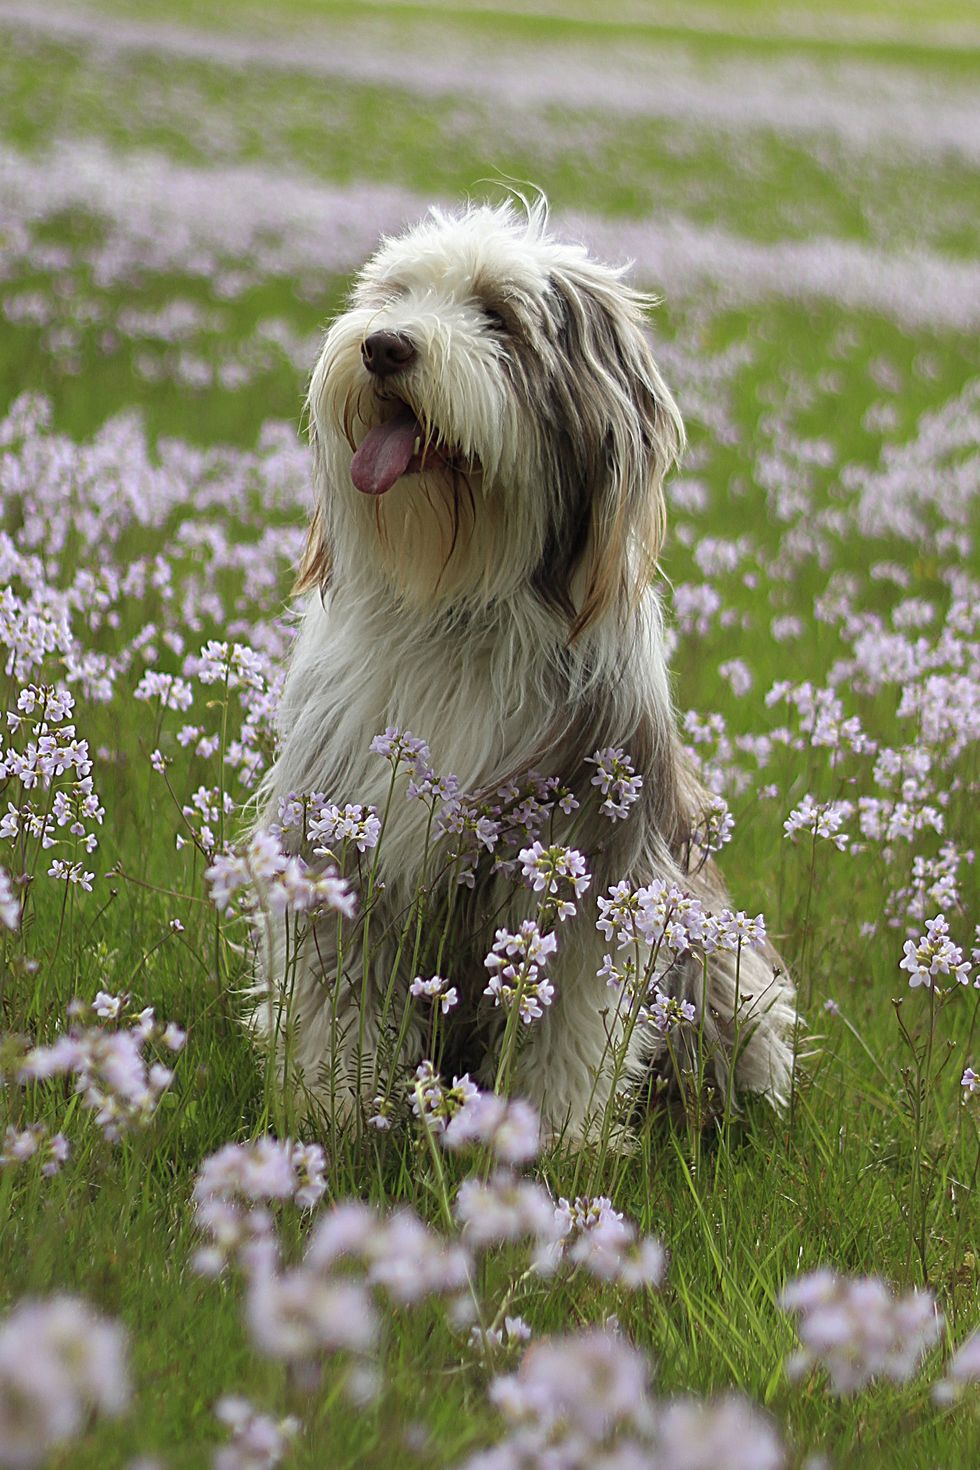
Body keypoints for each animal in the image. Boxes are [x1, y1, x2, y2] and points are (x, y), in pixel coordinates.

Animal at [257, 198, 793, 1134]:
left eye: (498, 318)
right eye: (394, 293)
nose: (385, 346)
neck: (458, 599)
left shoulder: (589, 851)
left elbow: (570, 1011)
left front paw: (550, 1135)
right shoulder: (341, 825)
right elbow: (338, 991)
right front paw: (337, 1105)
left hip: (721, 963)